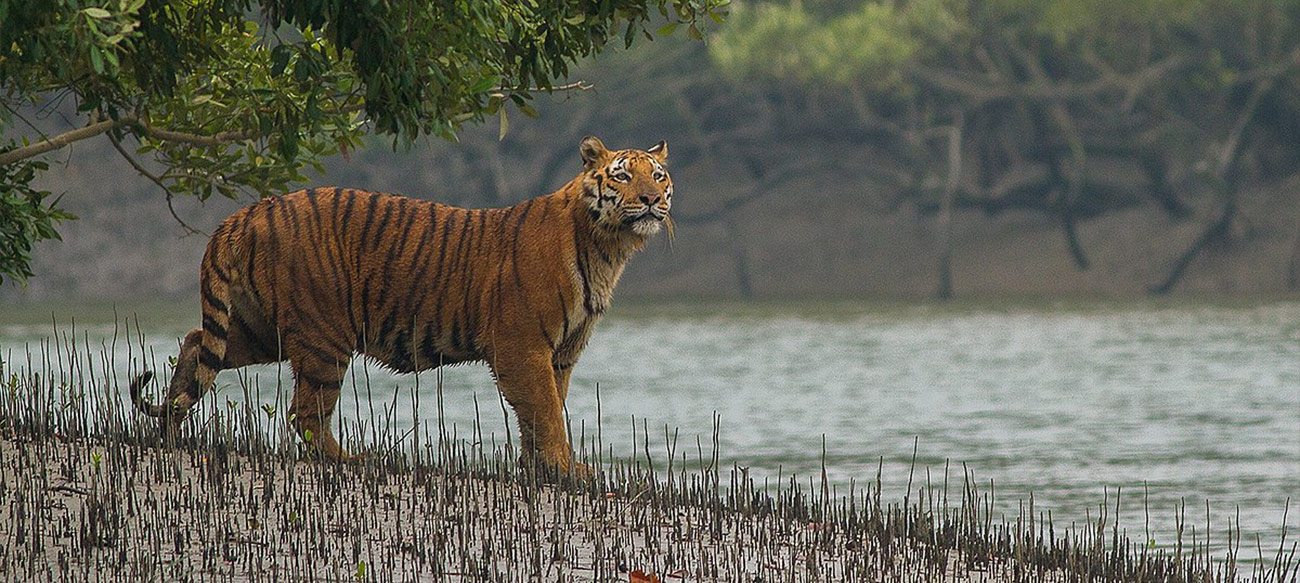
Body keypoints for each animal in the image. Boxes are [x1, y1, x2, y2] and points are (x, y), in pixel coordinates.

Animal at [128, 136, 676, 473]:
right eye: (622, 177)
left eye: (659, 176)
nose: (652, 200)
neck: (608, 246)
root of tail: (247, 212)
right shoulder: (523, 346)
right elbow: (545, 411)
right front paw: (565, 469)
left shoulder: (560, 352)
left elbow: (543, 411)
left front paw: (540, 468)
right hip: (324, 336)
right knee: (305, 413)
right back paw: (348, 460)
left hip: (262, 328)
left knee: (197, 343)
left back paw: (169, 428)